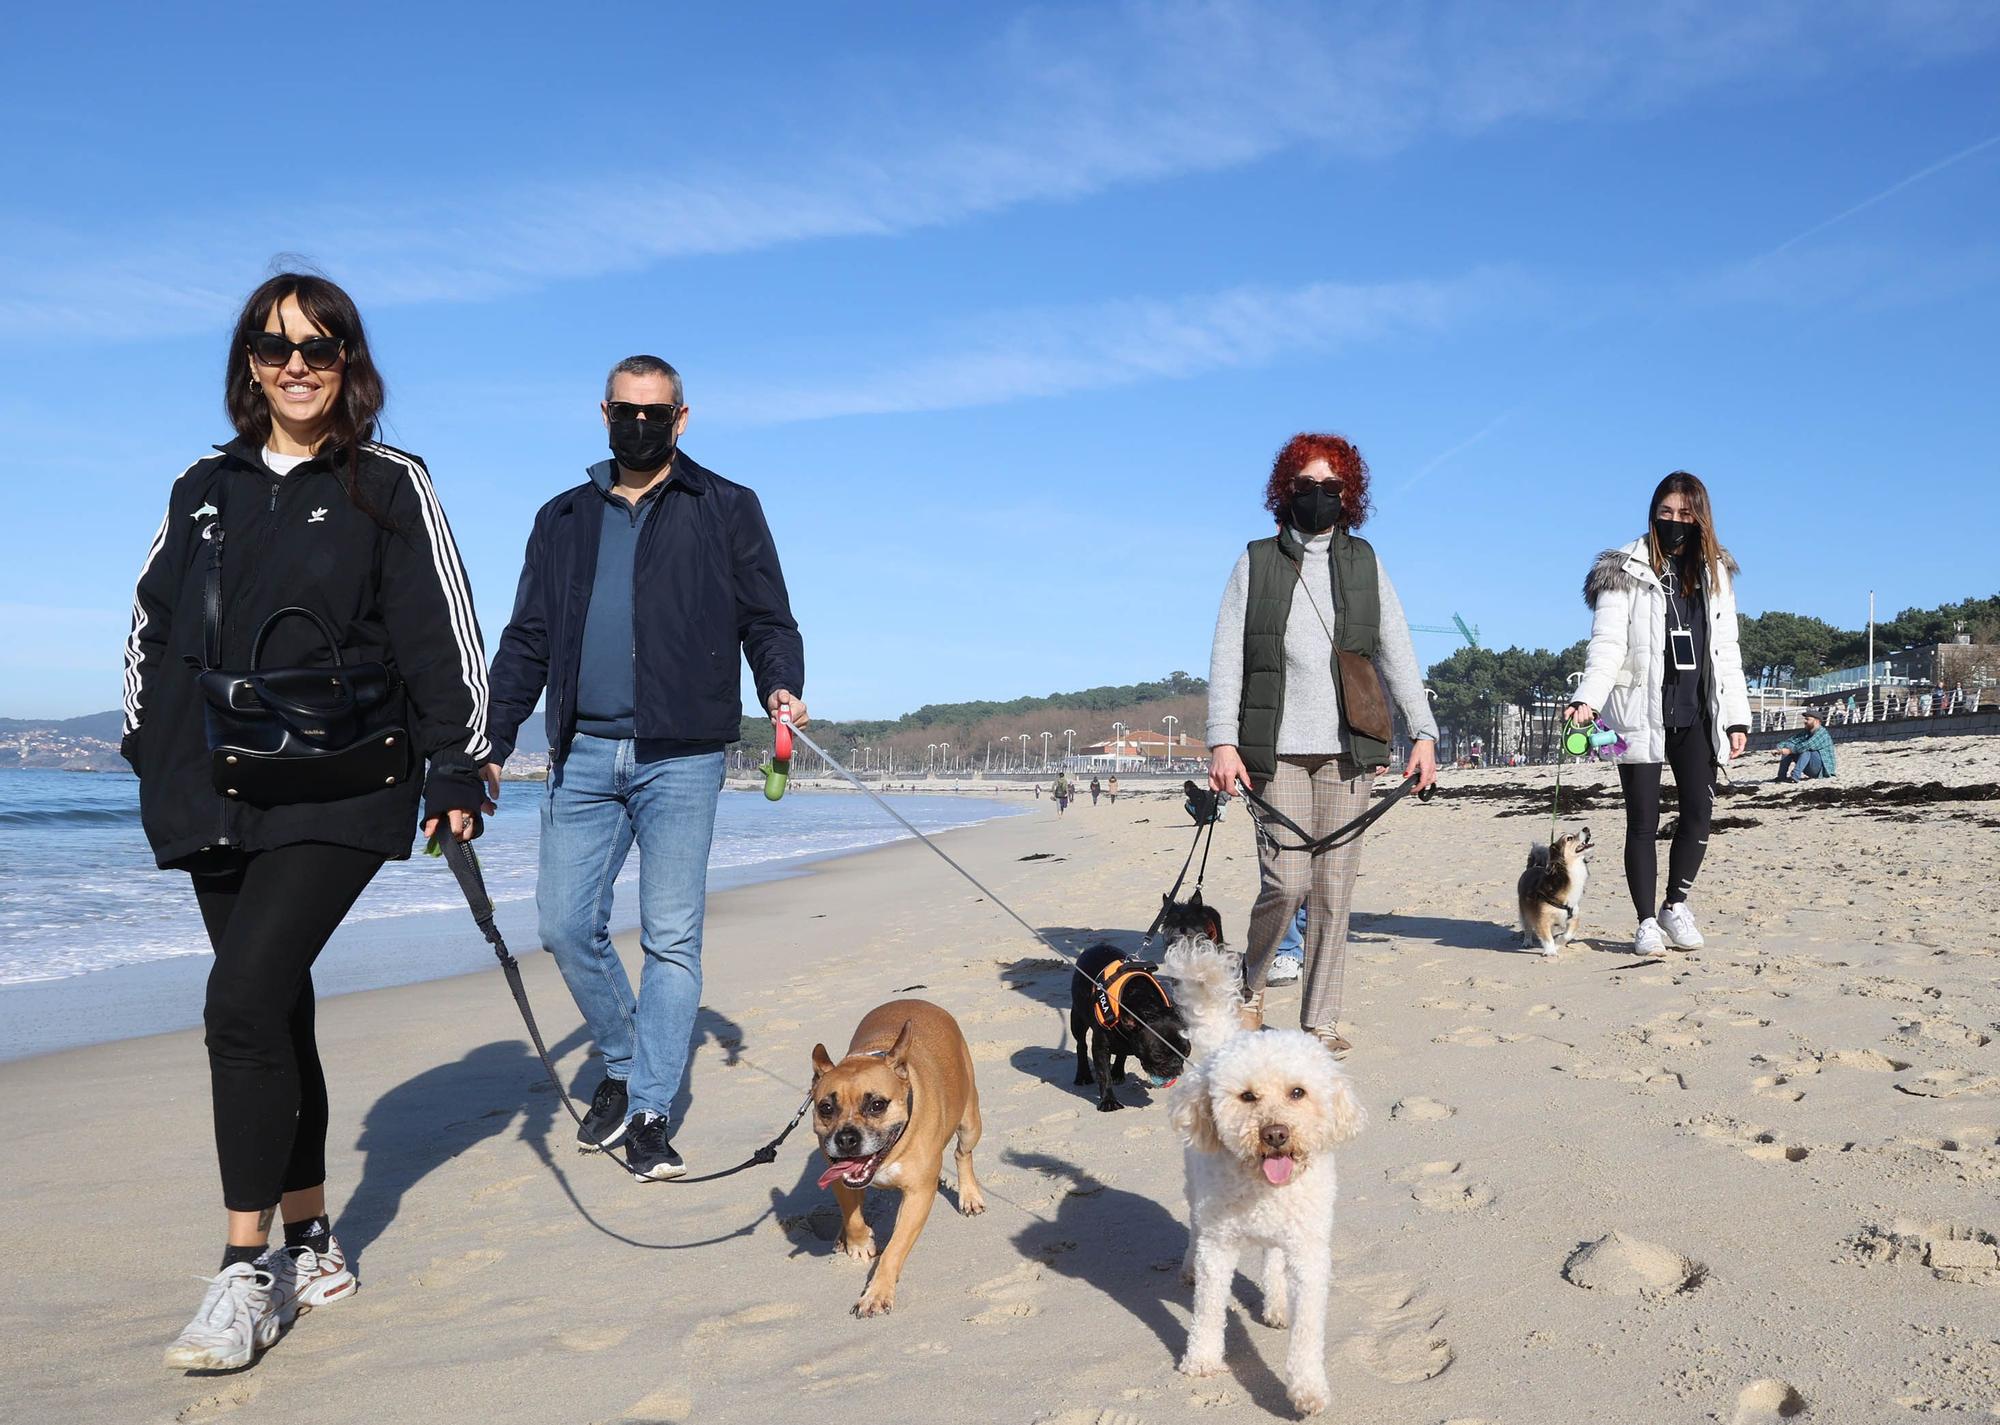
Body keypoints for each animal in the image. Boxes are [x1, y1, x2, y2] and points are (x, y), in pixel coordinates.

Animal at [800, 996, 980, 1320]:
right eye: (825, 1108)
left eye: (877, 1105)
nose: (846, 1139)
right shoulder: (842, 1180)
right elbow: (853, 1217)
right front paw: (859, 1243)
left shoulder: (919, 1194)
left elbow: (895, 1248)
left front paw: (876, 1293)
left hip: (970, 1123)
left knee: (963, 1153)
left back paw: (970, 1196)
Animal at [1072, 944, 1192, 1112]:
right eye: (1157, 1056)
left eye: (1186, 1052)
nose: (1175, 1065)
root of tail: (1096, 946)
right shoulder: (1100, 1048)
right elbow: (1104, 1075)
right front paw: (1108, 1101)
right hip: (1077, 1019)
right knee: (1081, 1044)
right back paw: (1083, 1075)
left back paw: (1117, 1072)